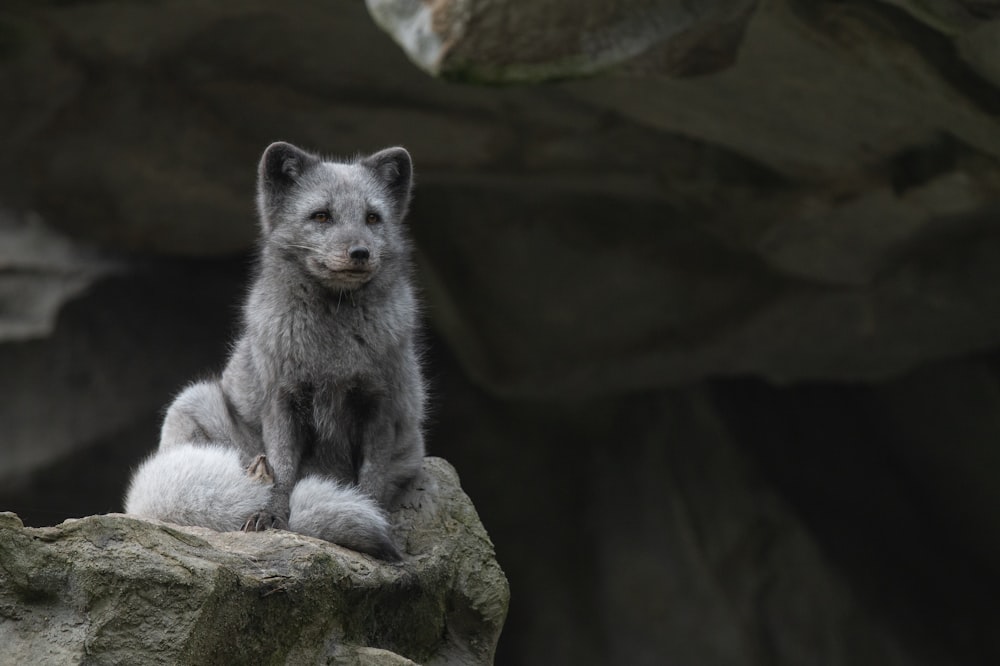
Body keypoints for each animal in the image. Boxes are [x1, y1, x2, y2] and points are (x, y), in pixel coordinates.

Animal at [123, 141, 424, 560]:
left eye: (372, 218)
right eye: (321, 216)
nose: (360, 252)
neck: (333, 345)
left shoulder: (379, 407)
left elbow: (371, 479)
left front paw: (369, 512)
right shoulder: (282, 401)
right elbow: (282, 471)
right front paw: (272, 518)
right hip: (192, 401)